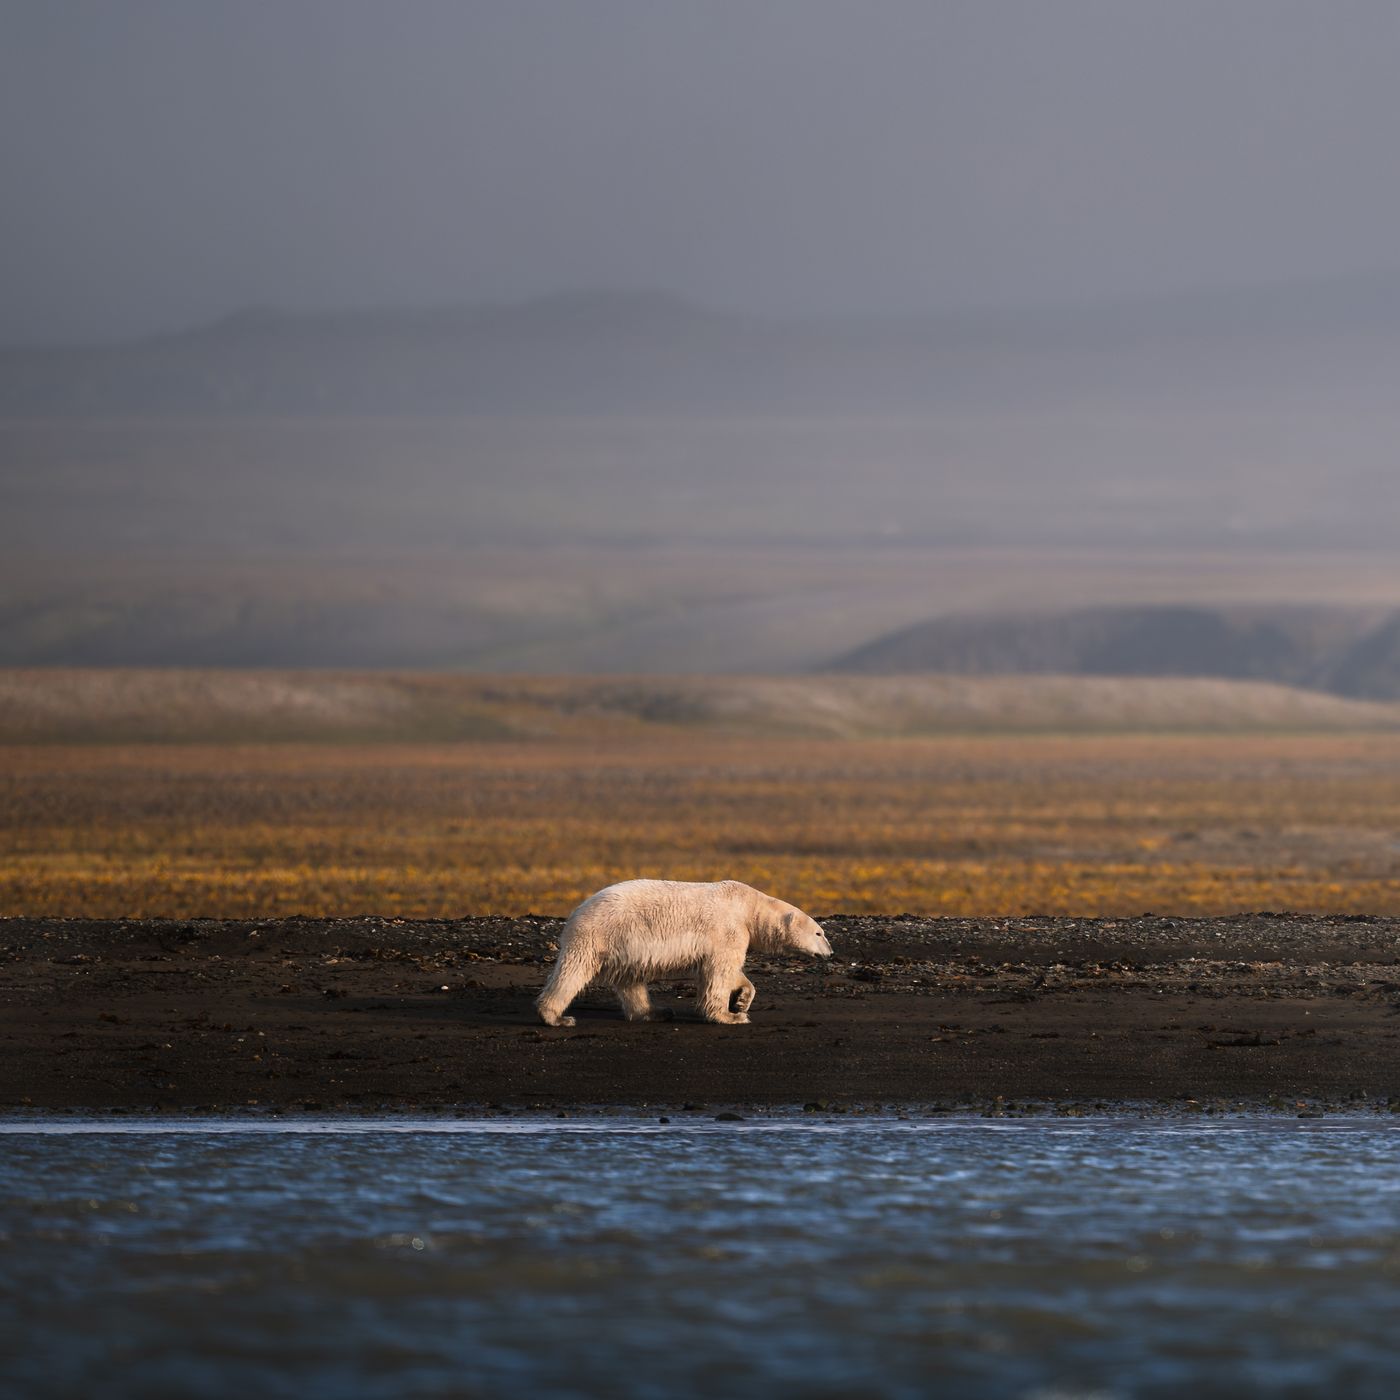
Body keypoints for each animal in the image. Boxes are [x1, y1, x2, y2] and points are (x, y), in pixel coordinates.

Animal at [536, 878, 832, 1027]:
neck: (748, 906)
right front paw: (730, 1016)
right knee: (573, 971)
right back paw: (556, 1017)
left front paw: (741, 1000)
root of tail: (576, 912)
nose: (830, 952)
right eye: (819, 933)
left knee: (631, 978)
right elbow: (720, 971)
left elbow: (730, 972)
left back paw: (656, 1011)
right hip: (598, 934)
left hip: (625, 943)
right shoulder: (728, 928)